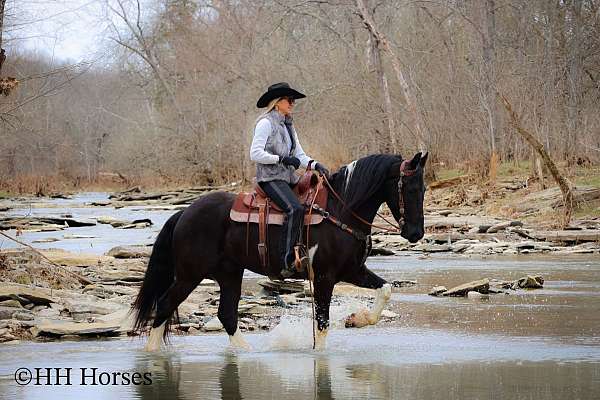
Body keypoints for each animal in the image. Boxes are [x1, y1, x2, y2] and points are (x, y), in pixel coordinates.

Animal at [134, 152, 428, 348]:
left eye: (424, 188)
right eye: (409, 188)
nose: (416, 233)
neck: (341, 211)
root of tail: (184, 212)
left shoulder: (352, 271)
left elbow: (385, 289)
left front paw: (358, 318)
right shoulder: (324, 277)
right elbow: (322, 325)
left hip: (229, 273)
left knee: (226, 315)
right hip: (189, 275)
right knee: (164, 305)